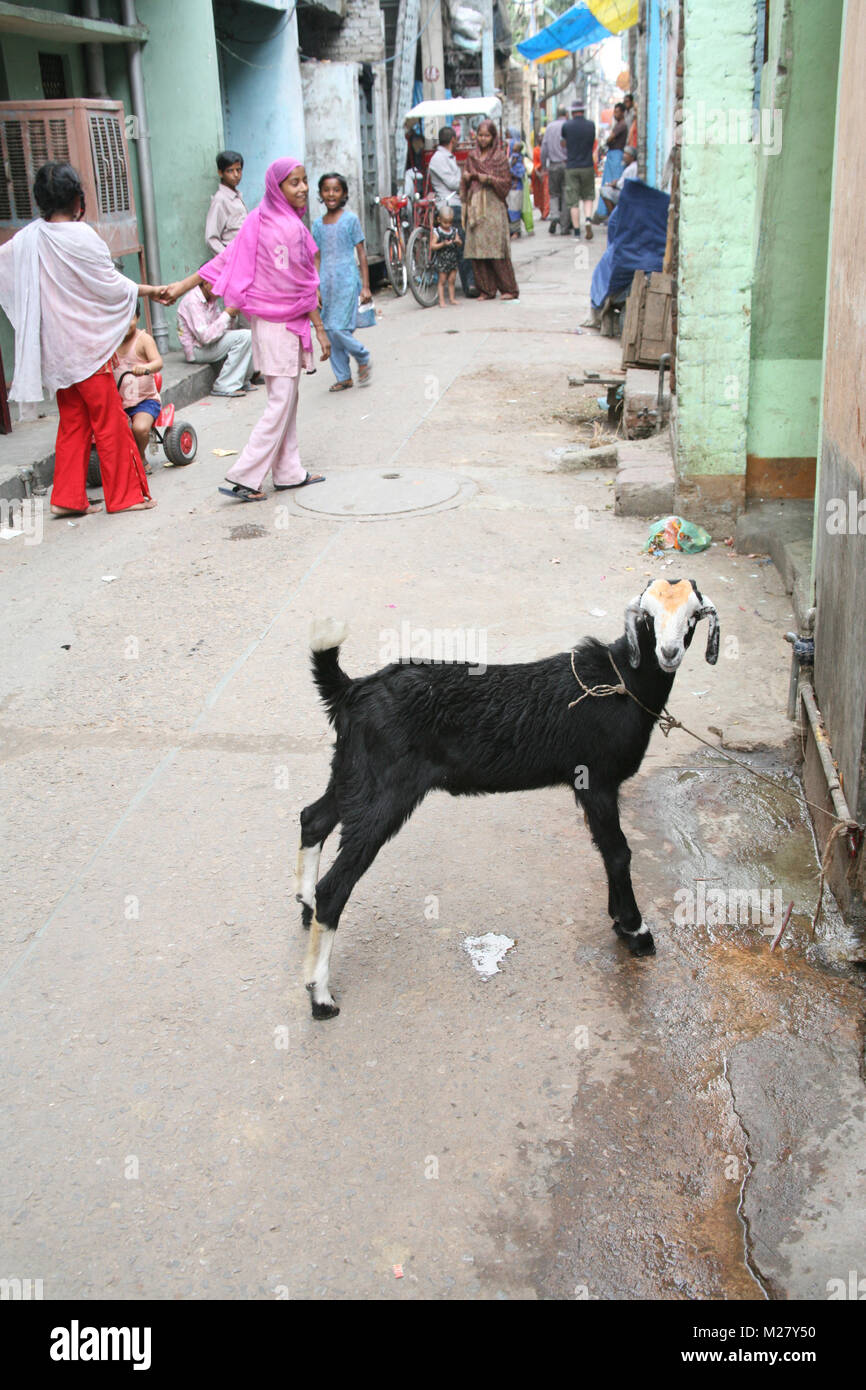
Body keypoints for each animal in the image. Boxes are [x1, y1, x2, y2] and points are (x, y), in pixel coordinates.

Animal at [297, 578, 717, 1023]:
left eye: (693, 616)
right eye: (648, 618)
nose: (668, 653)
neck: (620, 682)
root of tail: (352, 689)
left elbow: (607, 851)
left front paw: (620, 921)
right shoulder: (597, 780)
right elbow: (618, 853)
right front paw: (636, 931)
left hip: (353, 772)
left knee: (313, 819)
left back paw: (305, 907)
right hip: (385, 790)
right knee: (335, 886)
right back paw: (320, 997)